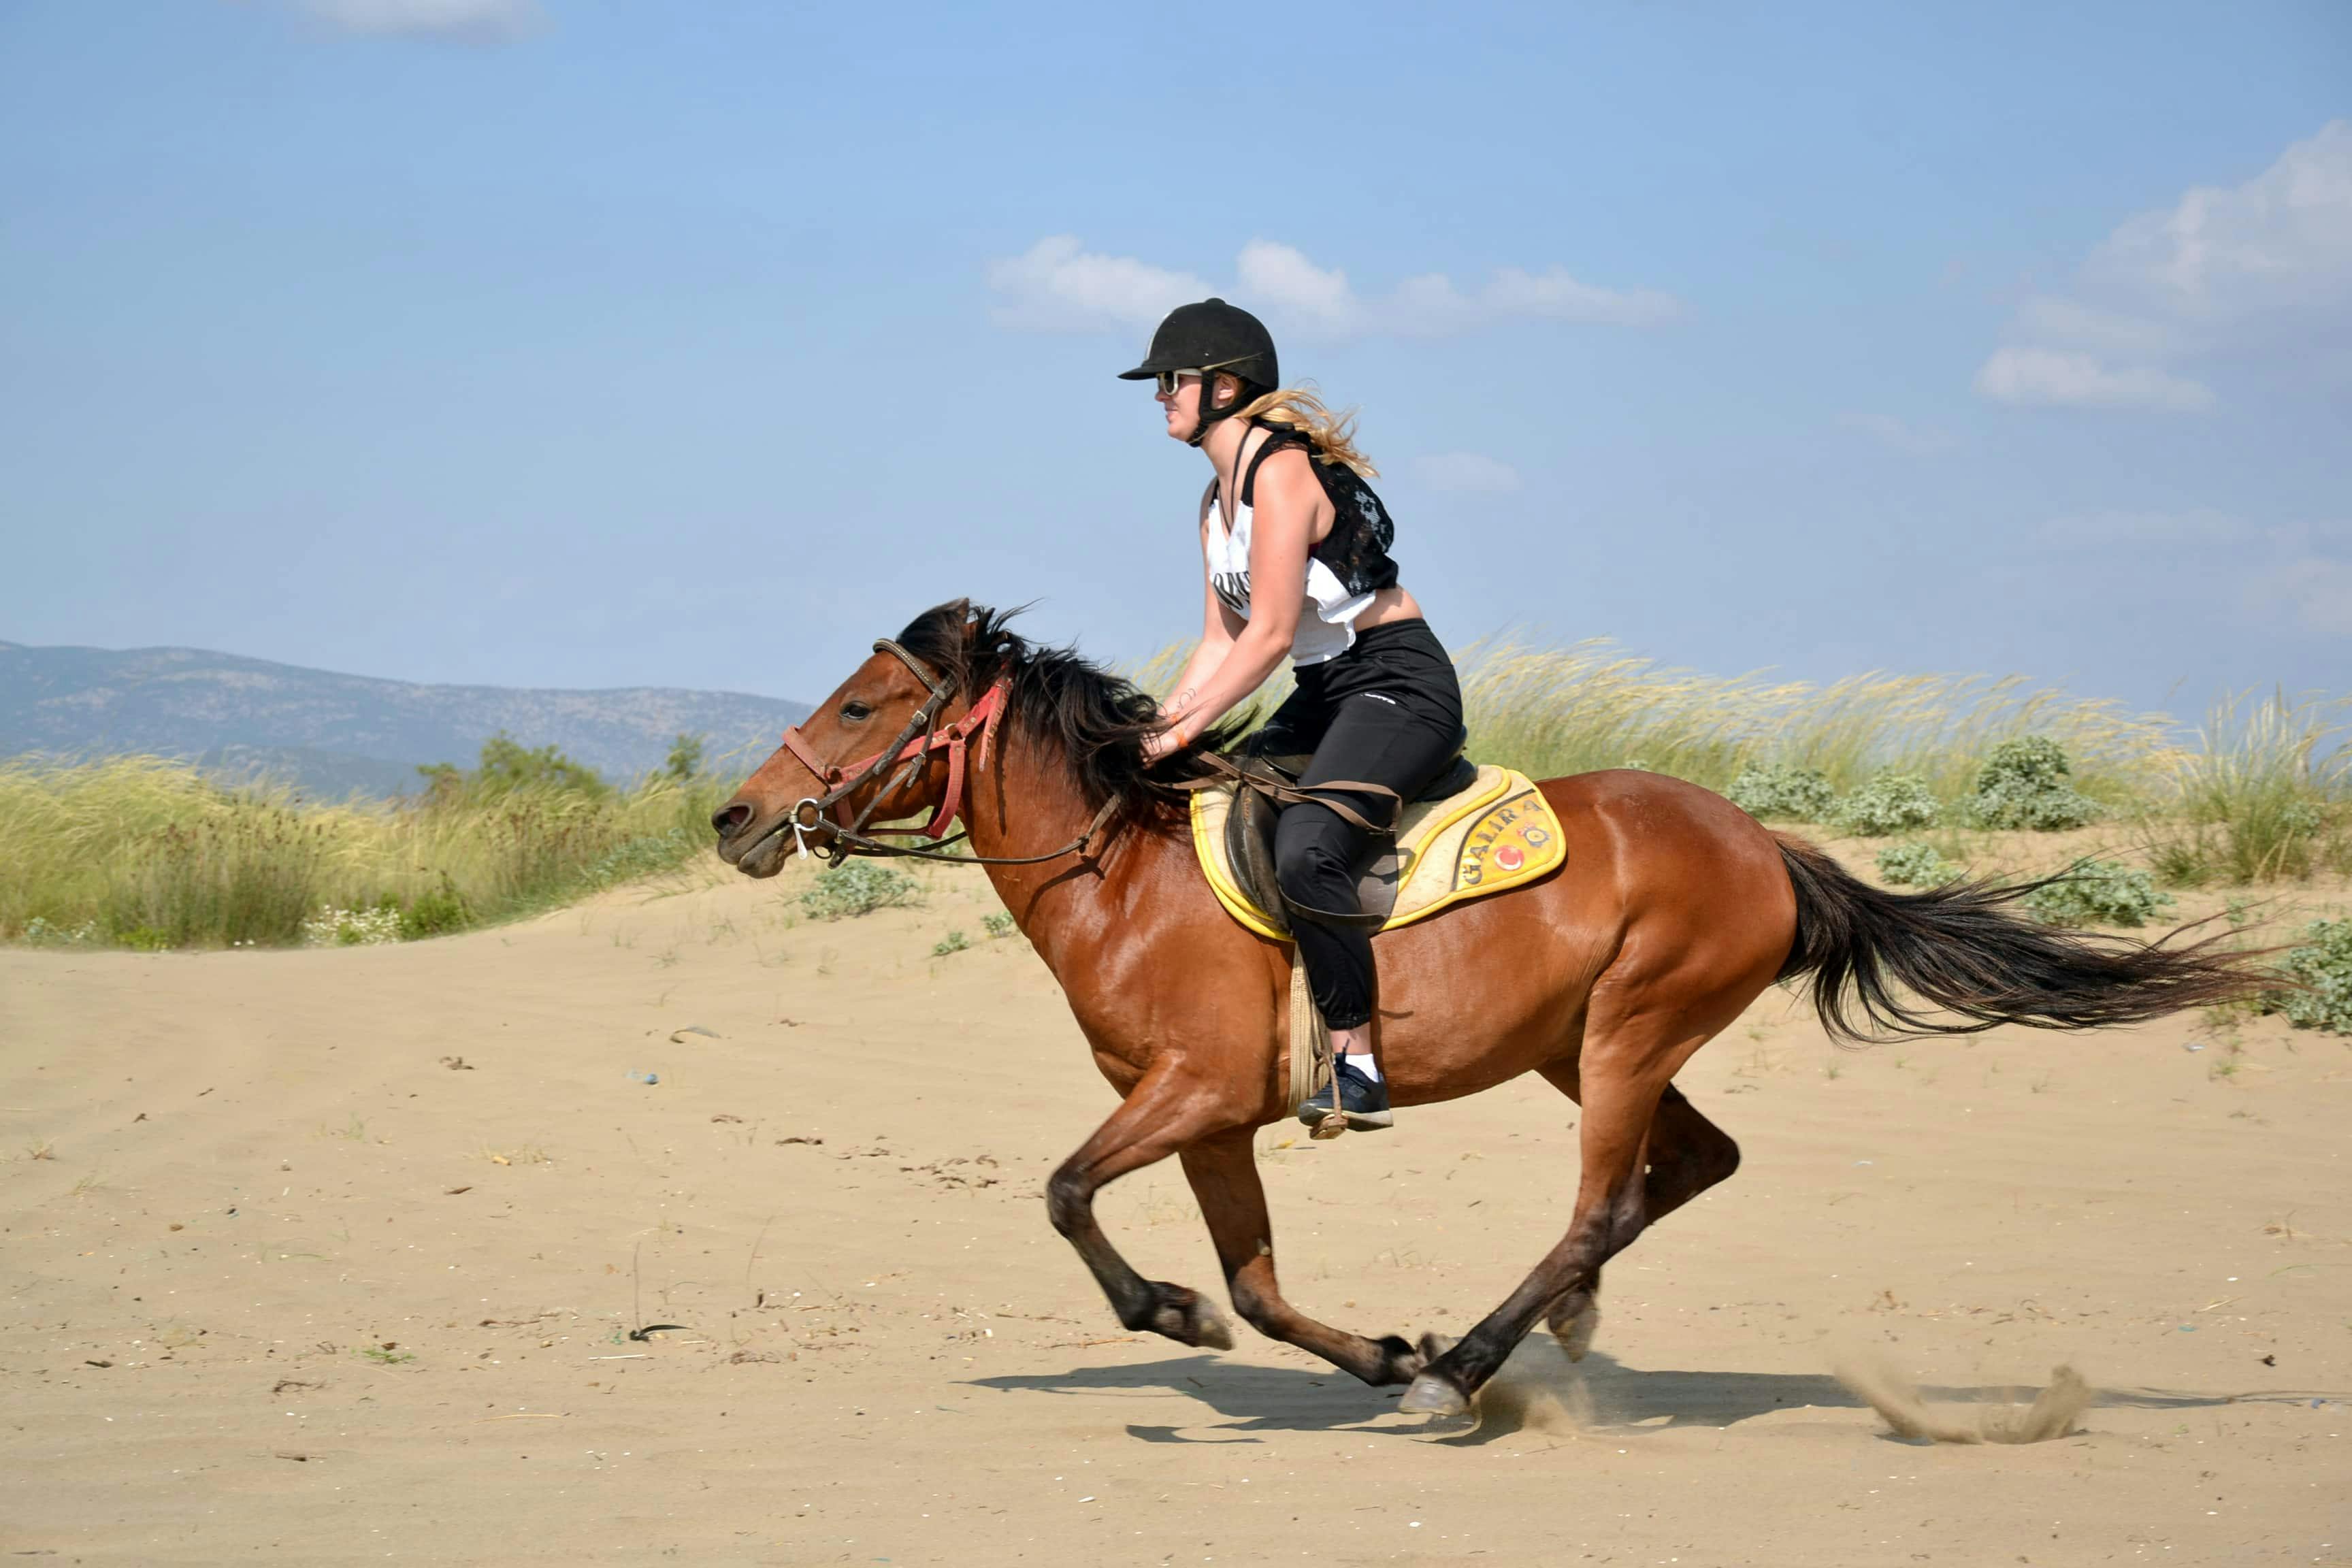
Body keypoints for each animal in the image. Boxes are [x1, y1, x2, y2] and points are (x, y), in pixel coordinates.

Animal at [710, 597, 2257, 1410]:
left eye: (861, 708)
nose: (735, 818)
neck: (1125, 867)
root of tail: (1769, 845)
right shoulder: (1212, 1120)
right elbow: (1256, 1285)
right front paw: (1359, 1347)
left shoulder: (1193, 1091)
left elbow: (1066, 1193)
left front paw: (1174, 1315)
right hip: (1585, 1046)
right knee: (1690, 1166)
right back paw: (1524, 1332)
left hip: (1629, 1031)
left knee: (1604, 1196)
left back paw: (1476, 1360)